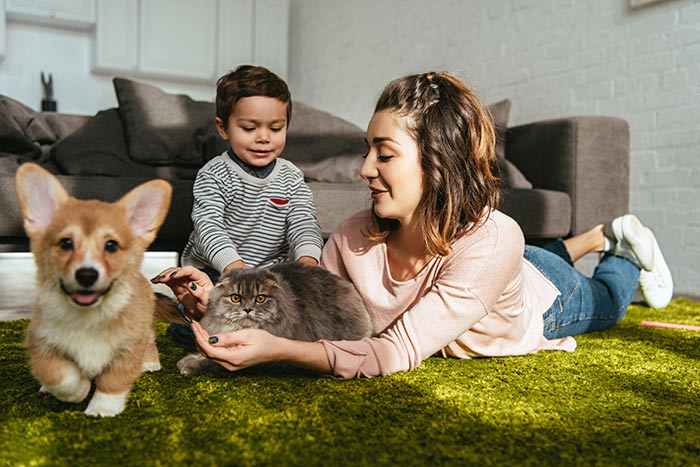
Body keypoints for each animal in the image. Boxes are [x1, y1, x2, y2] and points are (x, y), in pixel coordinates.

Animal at [14, 164, 172, 416]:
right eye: (66, 243)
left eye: (111, 245)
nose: (87, 274)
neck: (88, 317)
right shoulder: (41, 343)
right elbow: (60, 376)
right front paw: (78, 389)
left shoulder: (127, 348)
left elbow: (113, 382)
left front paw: (102, 409)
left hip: (145, 330)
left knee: (150, 342)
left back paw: (149, 362)